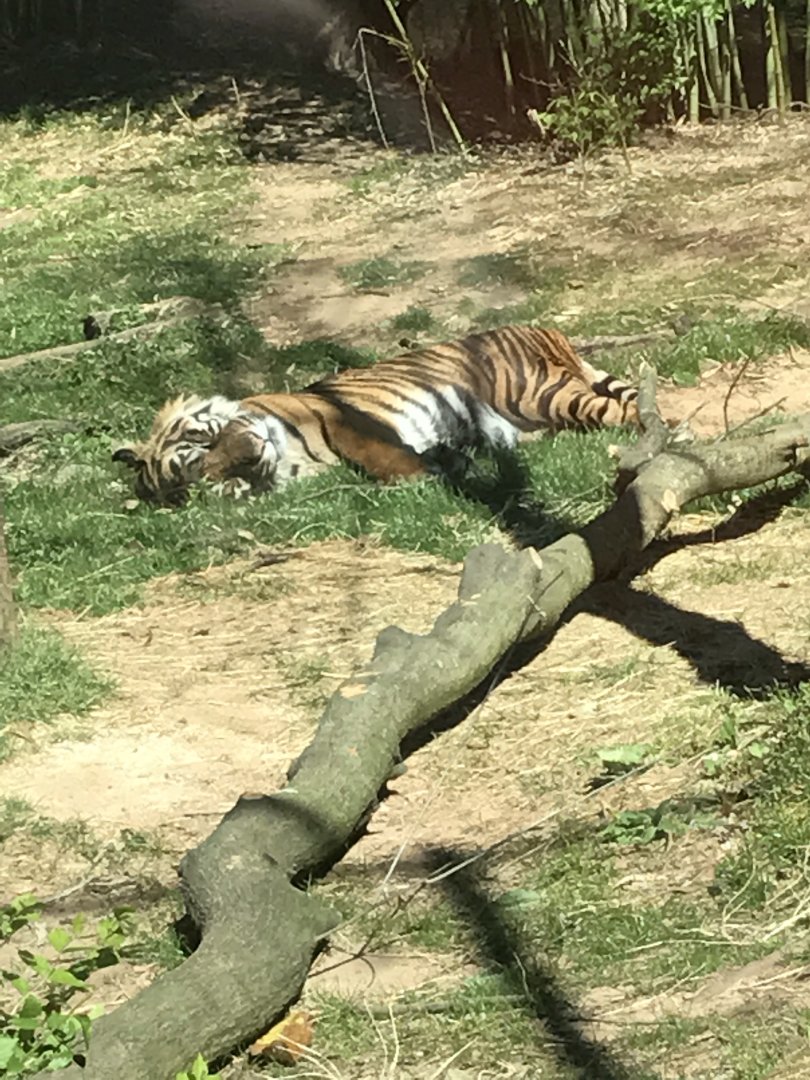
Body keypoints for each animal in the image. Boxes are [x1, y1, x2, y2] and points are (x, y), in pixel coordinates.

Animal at [112, 324, 639, 507]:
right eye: (207, 474)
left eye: (204, 441)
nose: (248, 452)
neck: (289, 460)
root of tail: (545, 329)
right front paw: (450, 463)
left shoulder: (341, 416)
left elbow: (377, 454)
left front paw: (424, 474)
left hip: (537, 393)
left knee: (630, 408)